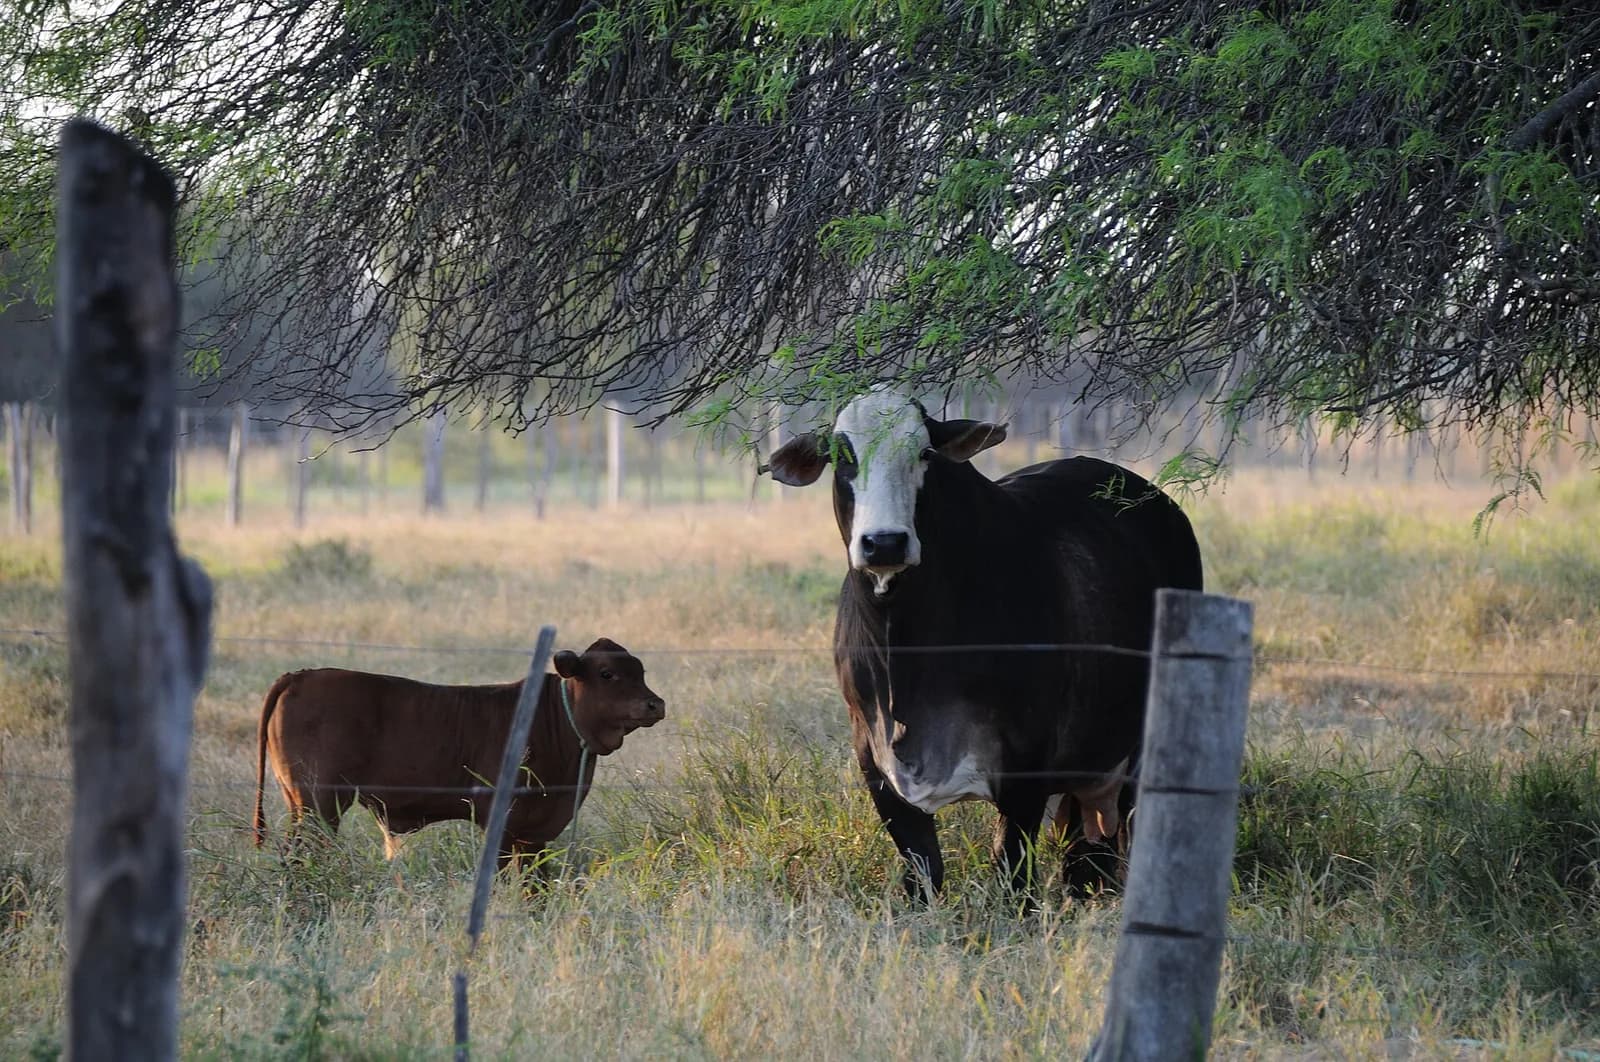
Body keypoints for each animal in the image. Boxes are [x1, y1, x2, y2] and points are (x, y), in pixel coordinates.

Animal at [252, 638, 664, 867]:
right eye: (607, 674)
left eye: (642, 672)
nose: (655, 704)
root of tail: (300, 675)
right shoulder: (504, 821)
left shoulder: (534, 833)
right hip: (319, 806)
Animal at [763, 388, 1203, 900]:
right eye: (841, 456)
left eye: (924, 453)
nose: (885, 543)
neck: (906, 651)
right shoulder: (875, 763)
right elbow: (924, 872)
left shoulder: (1025, 768)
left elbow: (1012, 874)